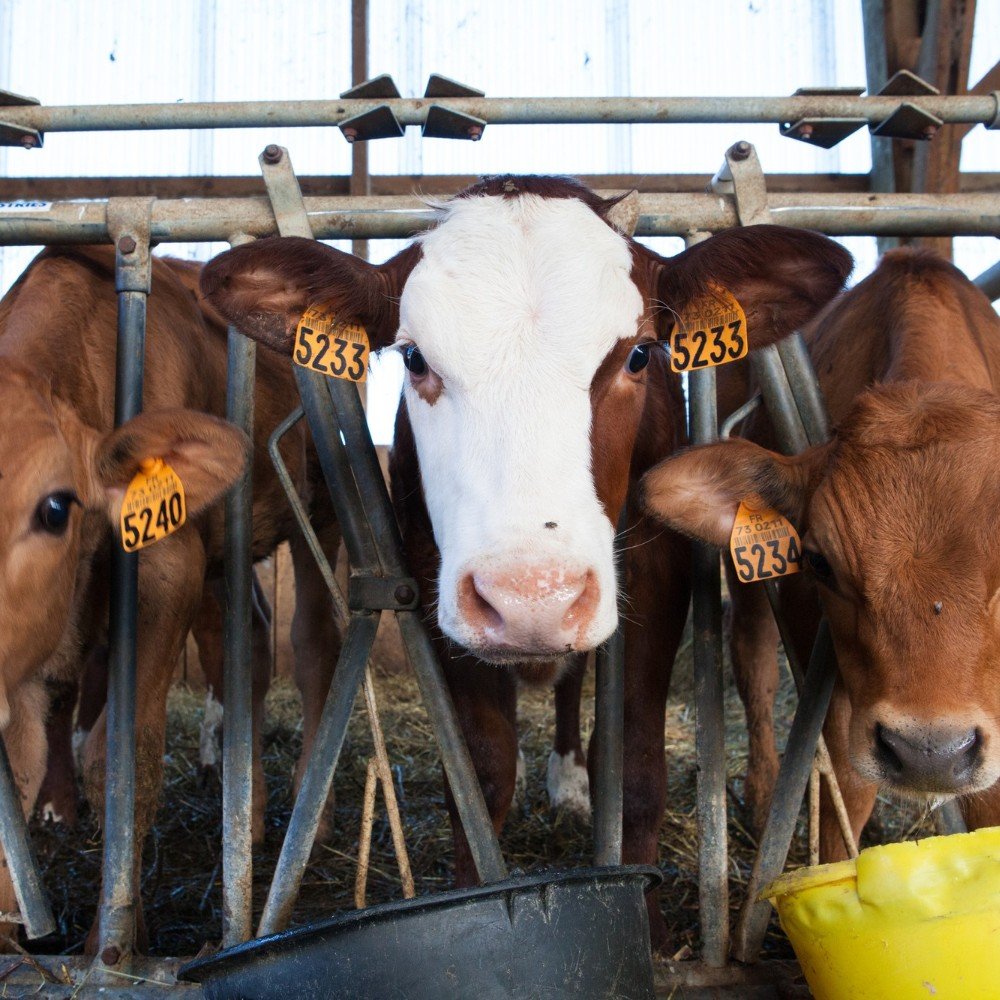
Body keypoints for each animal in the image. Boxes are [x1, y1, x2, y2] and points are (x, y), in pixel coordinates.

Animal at [0, 245, 344, 950]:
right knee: (244, 647)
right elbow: (22, 756)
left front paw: (114, 943)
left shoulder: (167, 564)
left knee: (313, 642)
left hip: (319, 503)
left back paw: (310, 818)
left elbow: (122, 755)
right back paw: (249, 819)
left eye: (55, 509)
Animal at [201, 174, 851, 948]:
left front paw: (651, 931)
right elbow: (480, 776)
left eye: (638, 354)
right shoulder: (435, 582)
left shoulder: (657, 582)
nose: (531, 597)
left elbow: (636, 767)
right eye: (414, 357)